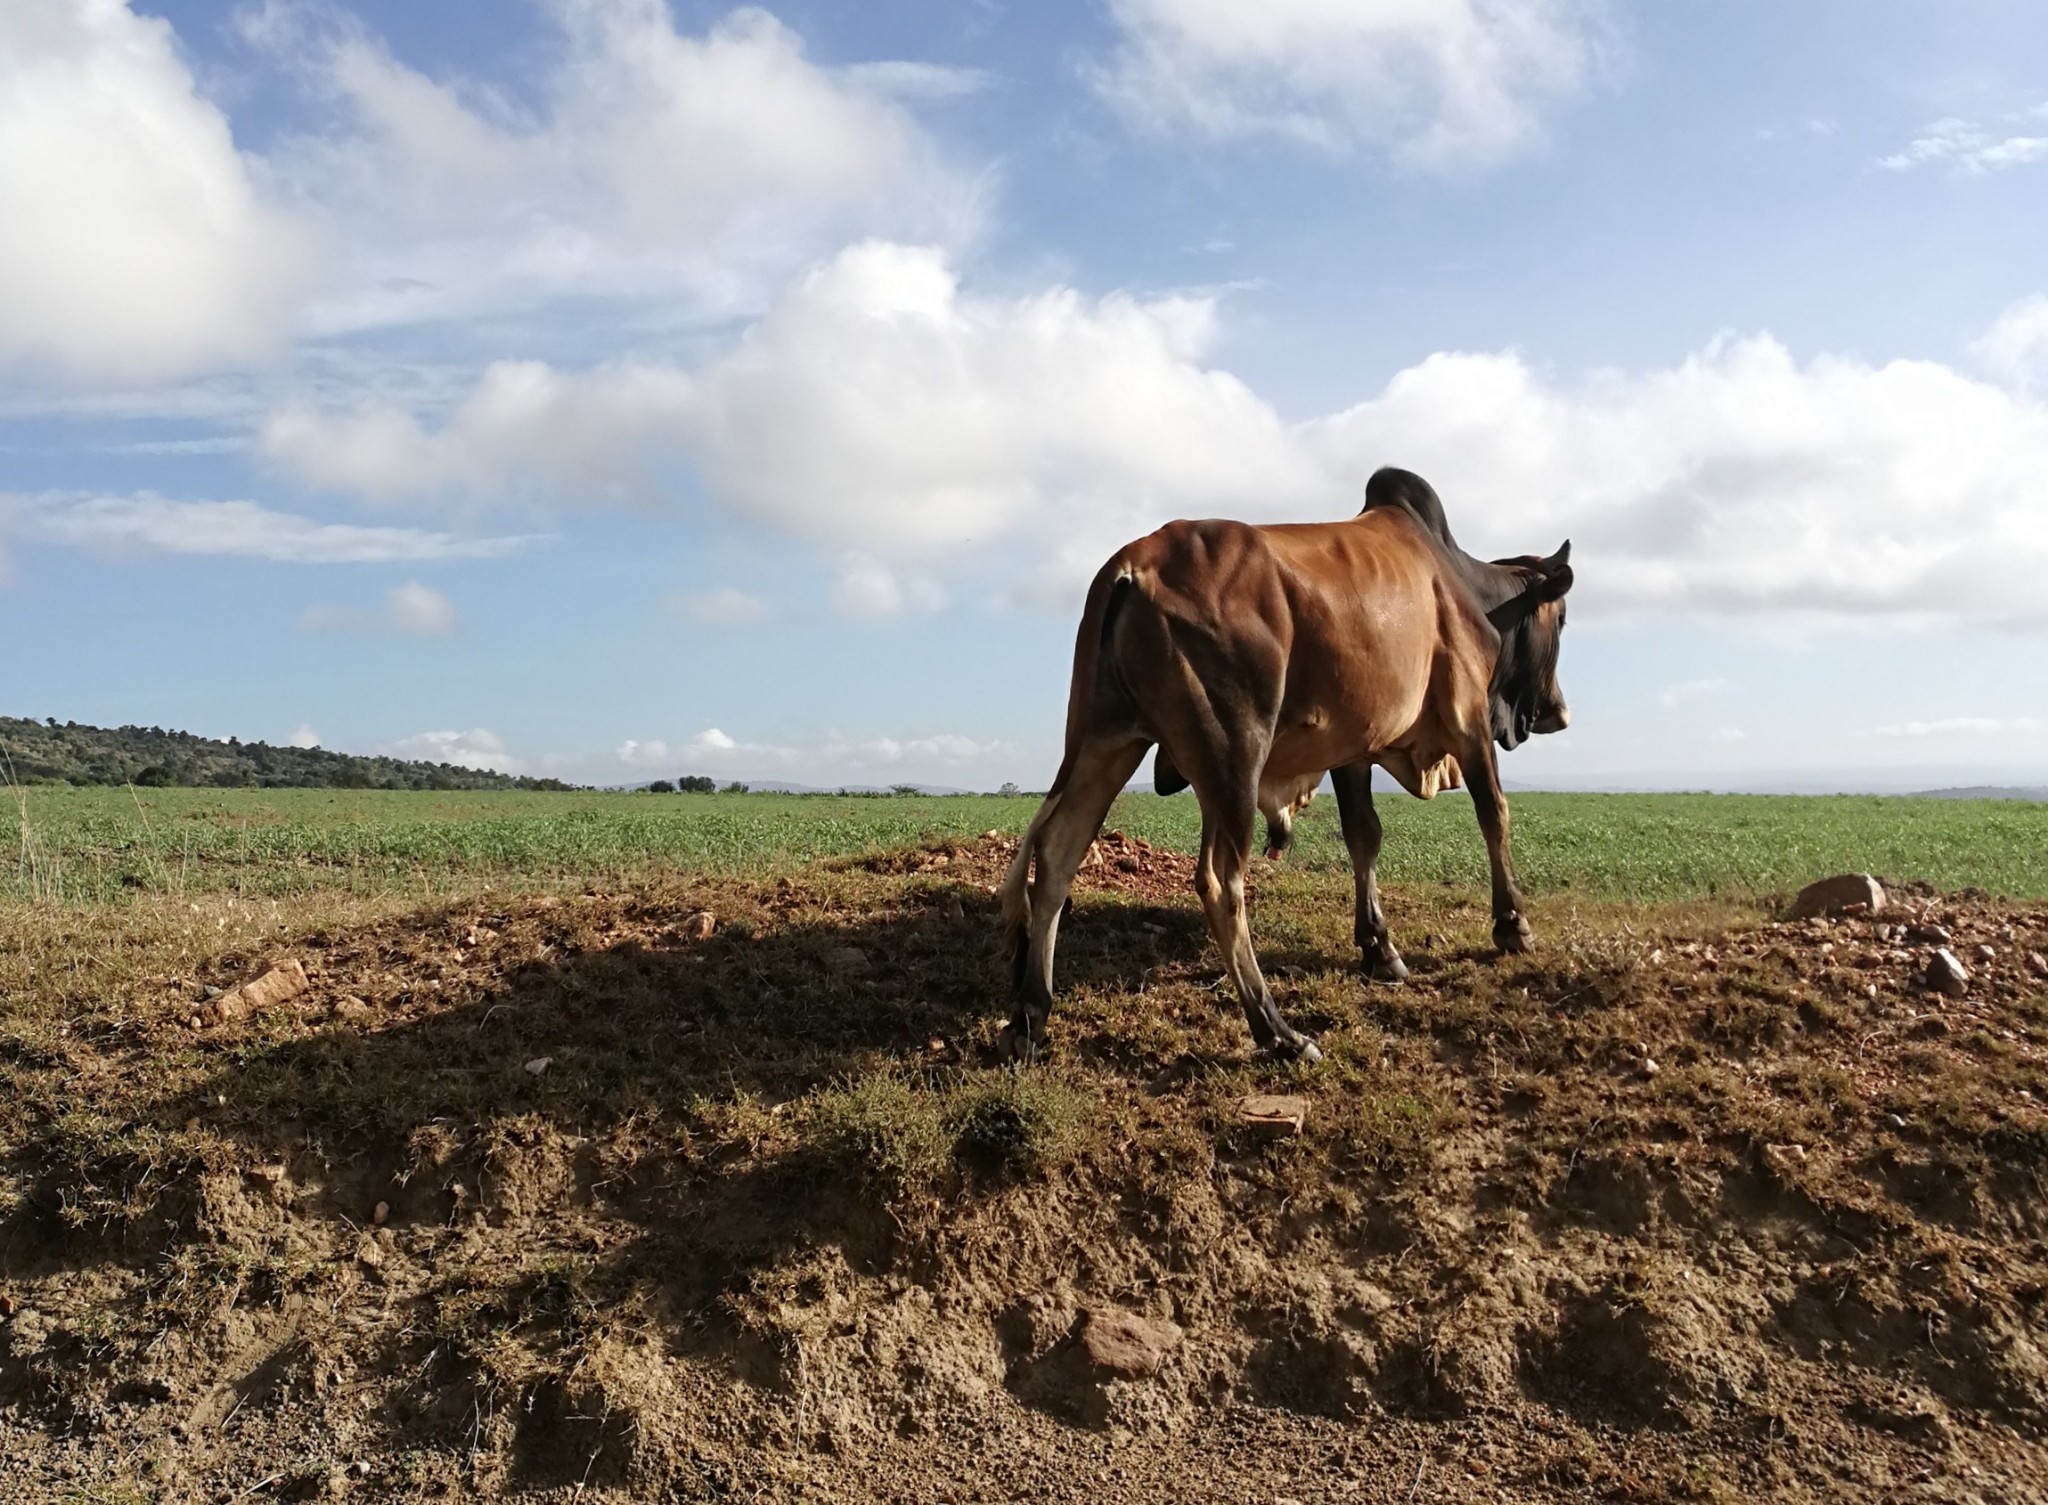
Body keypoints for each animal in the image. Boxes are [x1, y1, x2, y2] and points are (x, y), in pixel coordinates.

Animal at [999, 464, 1572, 1064]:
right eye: (1562, 620)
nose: (1557, 713)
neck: (1458, 580)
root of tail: (1130, 565)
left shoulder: (1352, 748)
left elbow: (1364, 834)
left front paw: (1379, 948)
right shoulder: (1469, 719)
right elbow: (1494, 815)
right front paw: (1513, 927)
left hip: (1106, 741)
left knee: (1057, 854)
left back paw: (1031, 1014)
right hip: (1233, 757)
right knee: (1219, 882)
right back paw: (1277, 1031)